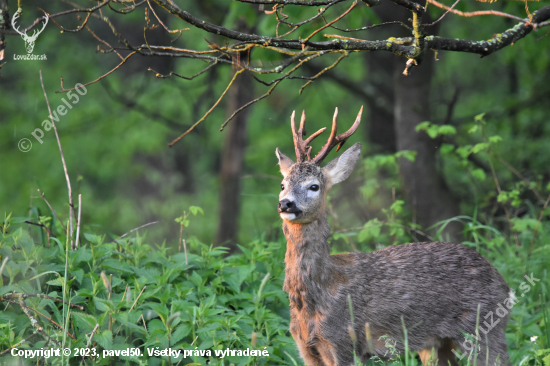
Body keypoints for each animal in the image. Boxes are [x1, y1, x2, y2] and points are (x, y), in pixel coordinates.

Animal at [276, 106, 512, 366]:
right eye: (283, 184)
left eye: (314, 186)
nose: (285, 203)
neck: (316, 295)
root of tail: (504, 285)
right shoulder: (306, 348)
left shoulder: (345, 342)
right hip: (437, 344)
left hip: (483, 327)